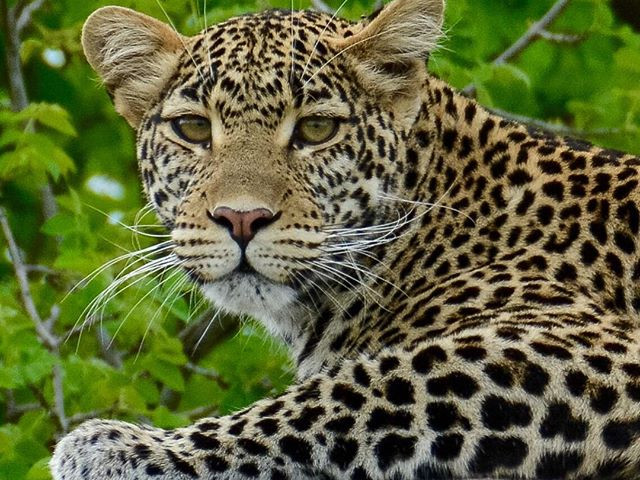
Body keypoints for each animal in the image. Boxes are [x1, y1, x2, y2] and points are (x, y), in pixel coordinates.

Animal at [51, 0, 640, 478]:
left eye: (316, 130)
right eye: (193, 129)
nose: (241, 219)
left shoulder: (591, 348)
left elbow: (354, 389)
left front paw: (110, 447)